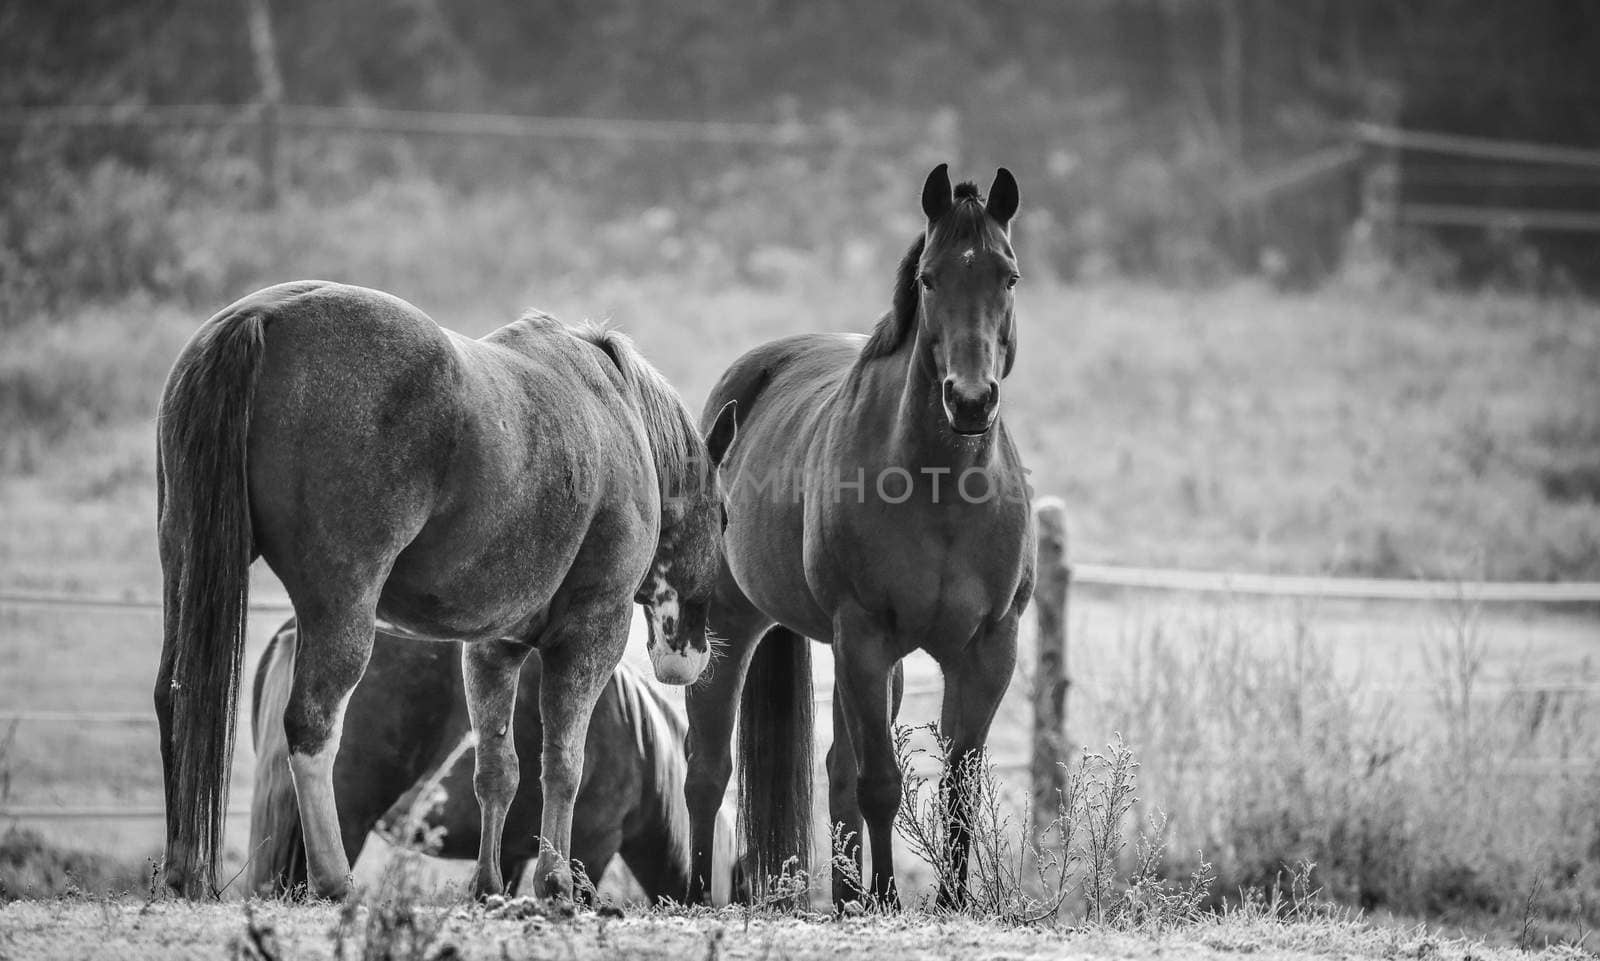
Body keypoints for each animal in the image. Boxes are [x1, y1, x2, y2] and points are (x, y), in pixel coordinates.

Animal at [678, 167, 1030, 908]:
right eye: (929, 279)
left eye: (1008, 276)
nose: (970, 400)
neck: (940, 488)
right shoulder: (863, 635)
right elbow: (880, 782)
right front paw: (891, 899)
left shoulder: (988, 647)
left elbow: (958, 786)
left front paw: (951, 900)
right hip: (729, 626)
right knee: (707, 768)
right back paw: (696, 890)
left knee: (836, 767)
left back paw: (844, 900)